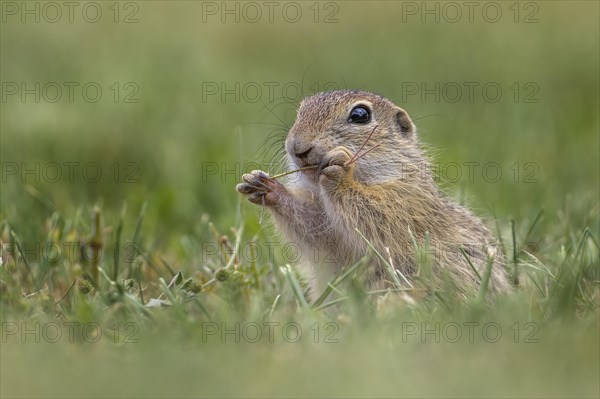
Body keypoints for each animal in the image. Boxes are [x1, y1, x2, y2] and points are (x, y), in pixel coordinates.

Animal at [237, 89, 508, 298]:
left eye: (360, 115)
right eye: (300, 111)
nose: (297, 147)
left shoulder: (407, 202)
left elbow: (376, 217)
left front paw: (340, 172)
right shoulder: (330, 229)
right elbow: (314, 226)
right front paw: (262, 184)